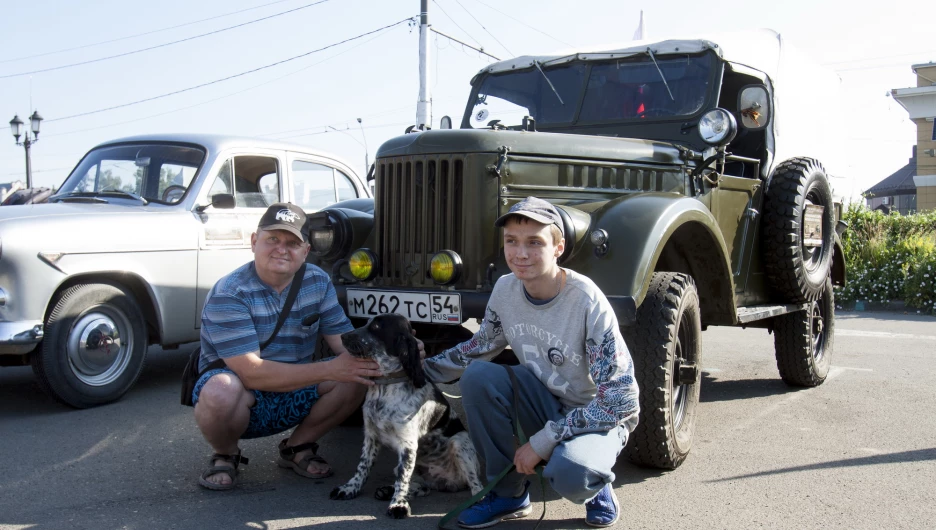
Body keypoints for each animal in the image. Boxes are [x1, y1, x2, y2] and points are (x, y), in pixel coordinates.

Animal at [330, 314, 482, 516]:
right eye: (366, 322)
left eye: (376, 326)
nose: (343, 336)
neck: (385, 387)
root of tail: (446, 482)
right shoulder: (370, 436)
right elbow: (363, 466)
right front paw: (349, 488)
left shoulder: (408, 444)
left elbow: (402, 479)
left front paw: (398, 504)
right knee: (421, 487)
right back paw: (387, 490)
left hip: (460, 444)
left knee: (476, 485)